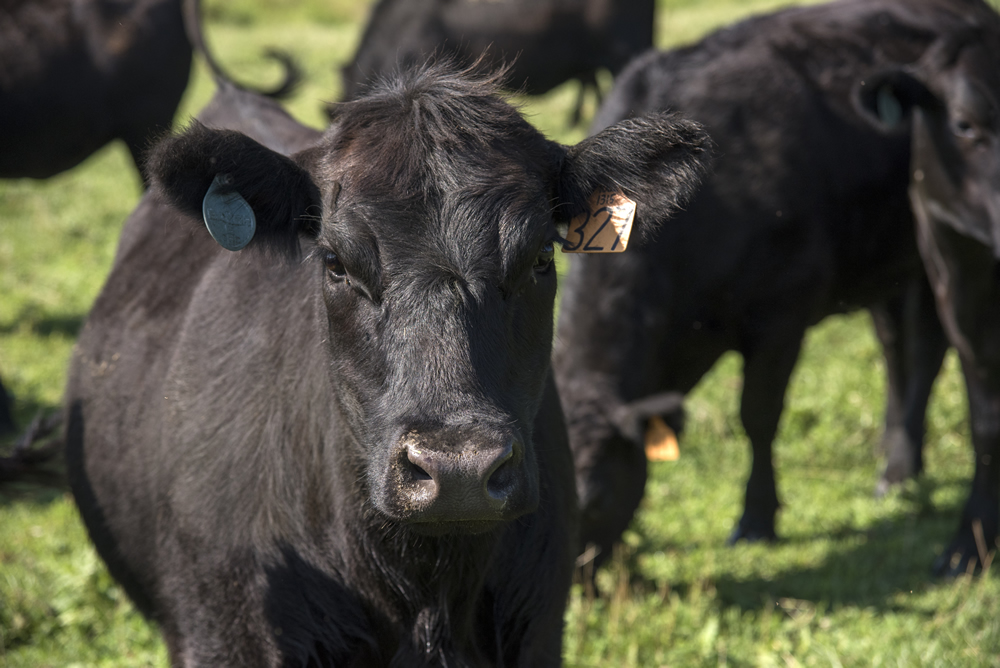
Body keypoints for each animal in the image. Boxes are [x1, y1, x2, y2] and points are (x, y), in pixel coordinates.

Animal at [556, 0, 1000, 576]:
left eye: (593, 502)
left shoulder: (780, 316)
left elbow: (758, 417)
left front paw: (756, 519)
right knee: (900, 349)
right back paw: (894, 463)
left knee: (923, 349)